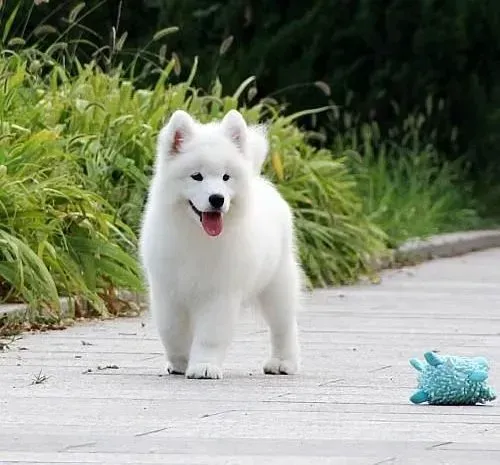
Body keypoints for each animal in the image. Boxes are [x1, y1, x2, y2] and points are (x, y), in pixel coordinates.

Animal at [138, 110, 300, 378]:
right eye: (196, 176)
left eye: (226, 177)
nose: (217, 199)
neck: (196, 235)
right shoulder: (167, 291)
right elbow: (172, 331)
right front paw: (180, 362)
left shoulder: (219, 294)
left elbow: (210, 336)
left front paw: (203, 366)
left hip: (277, 284)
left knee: (284, 326)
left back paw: (282, 362)